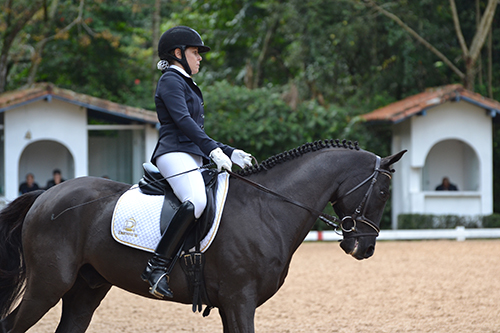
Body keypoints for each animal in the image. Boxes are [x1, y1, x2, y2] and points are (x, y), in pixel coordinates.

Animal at [0, 139, 406, 330]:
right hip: (48, 285)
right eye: (384, 191)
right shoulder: (240, 300)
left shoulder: (230, 304)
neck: (268, 207)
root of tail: (45, 196)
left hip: (86, 288)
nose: (364, 248)